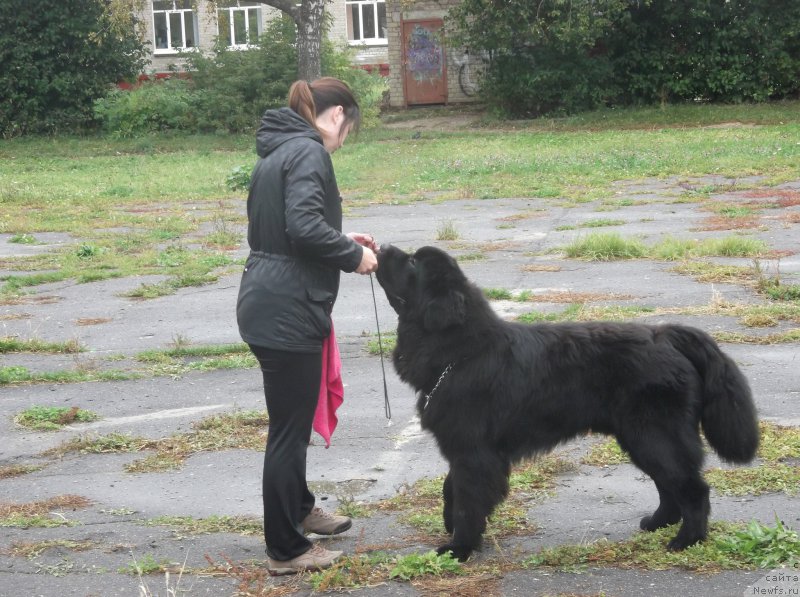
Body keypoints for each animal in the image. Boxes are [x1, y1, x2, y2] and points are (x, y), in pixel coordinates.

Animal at [378, 244, 760, 560]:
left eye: (412, 262)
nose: (380, 246)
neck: (463, 351)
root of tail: (665, 335)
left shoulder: (473, 452)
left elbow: (467, 499)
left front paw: (459, 548)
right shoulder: (469, 450)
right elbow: (451, 488)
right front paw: (452, 527)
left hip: (655, 436)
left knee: (693, 489)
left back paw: (686, 540)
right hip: (642, 438)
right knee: (669, 485)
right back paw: (657, 522)